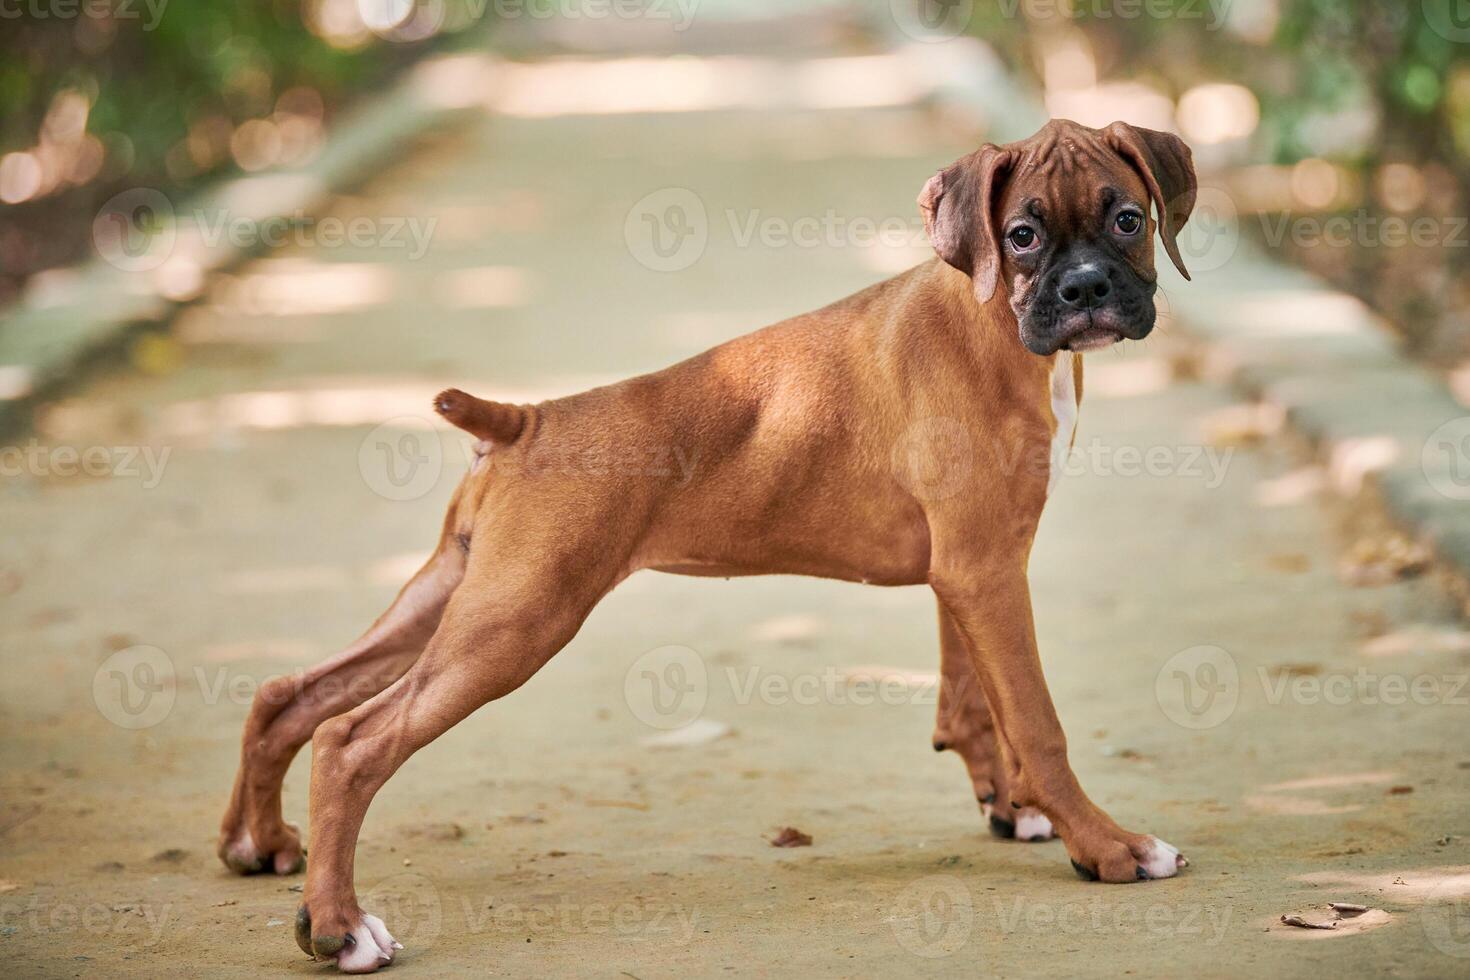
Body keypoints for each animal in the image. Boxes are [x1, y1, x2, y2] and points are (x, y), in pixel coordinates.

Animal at [223, 119, 1199, 969]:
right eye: (1024, 234)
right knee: (351, 741)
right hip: (516, 623)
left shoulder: (966, 572)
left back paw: (259, 847)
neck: (990, 319)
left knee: (291, 696)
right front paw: (1106, 846)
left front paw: (1015, 809)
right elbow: (1037, 720)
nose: (1085, 290)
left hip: (454, 599)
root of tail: (524, 421)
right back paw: (340, 929)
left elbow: (971, 703)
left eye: (1127, 217)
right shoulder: (988, 572)